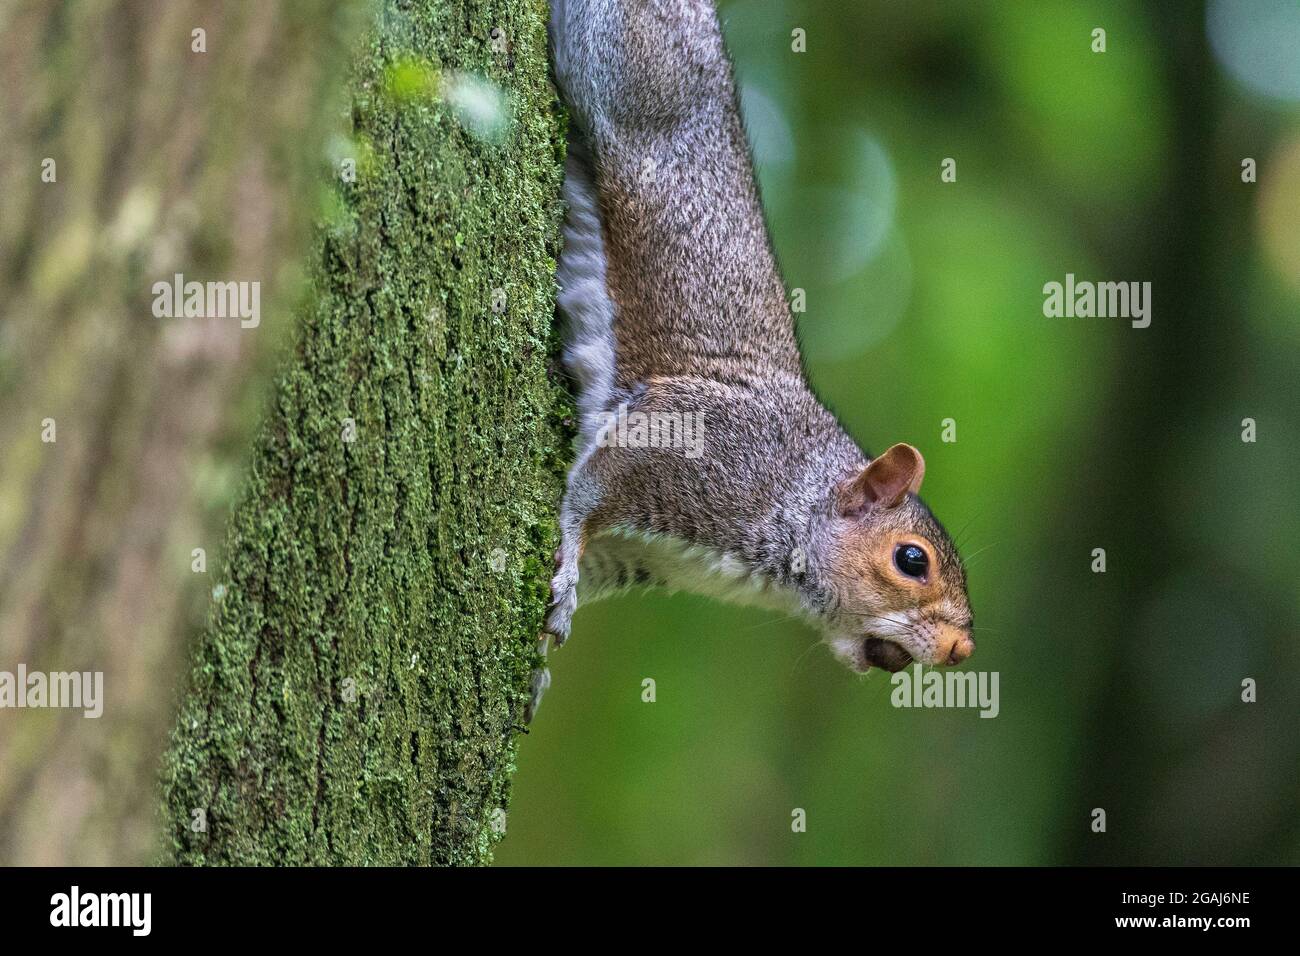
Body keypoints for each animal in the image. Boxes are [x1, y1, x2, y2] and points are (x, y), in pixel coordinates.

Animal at [529, 0, 973, 720]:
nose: (963, 651)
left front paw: (540, 664)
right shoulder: (686, 438)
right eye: (912, 561)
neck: (799, 497)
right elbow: (583, 501)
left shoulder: (635, 552)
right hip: (620, 67)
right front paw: (563, 577)